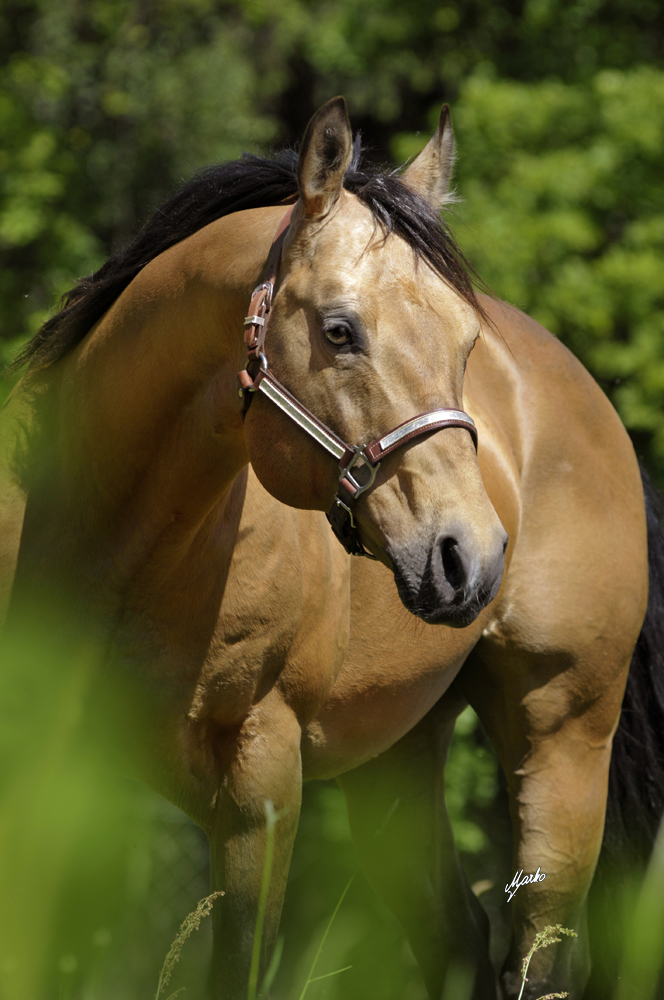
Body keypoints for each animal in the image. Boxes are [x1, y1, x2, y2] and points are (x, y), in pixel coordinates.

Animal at [1, 95, 664, 1000]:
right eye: (340, 330)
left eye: (466, 343)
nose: (470, 556)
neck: (114, 545)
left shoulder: (262, 780)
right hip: (396, 760)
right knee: (457, 937)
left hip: (562, 739)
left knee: (541, 957)